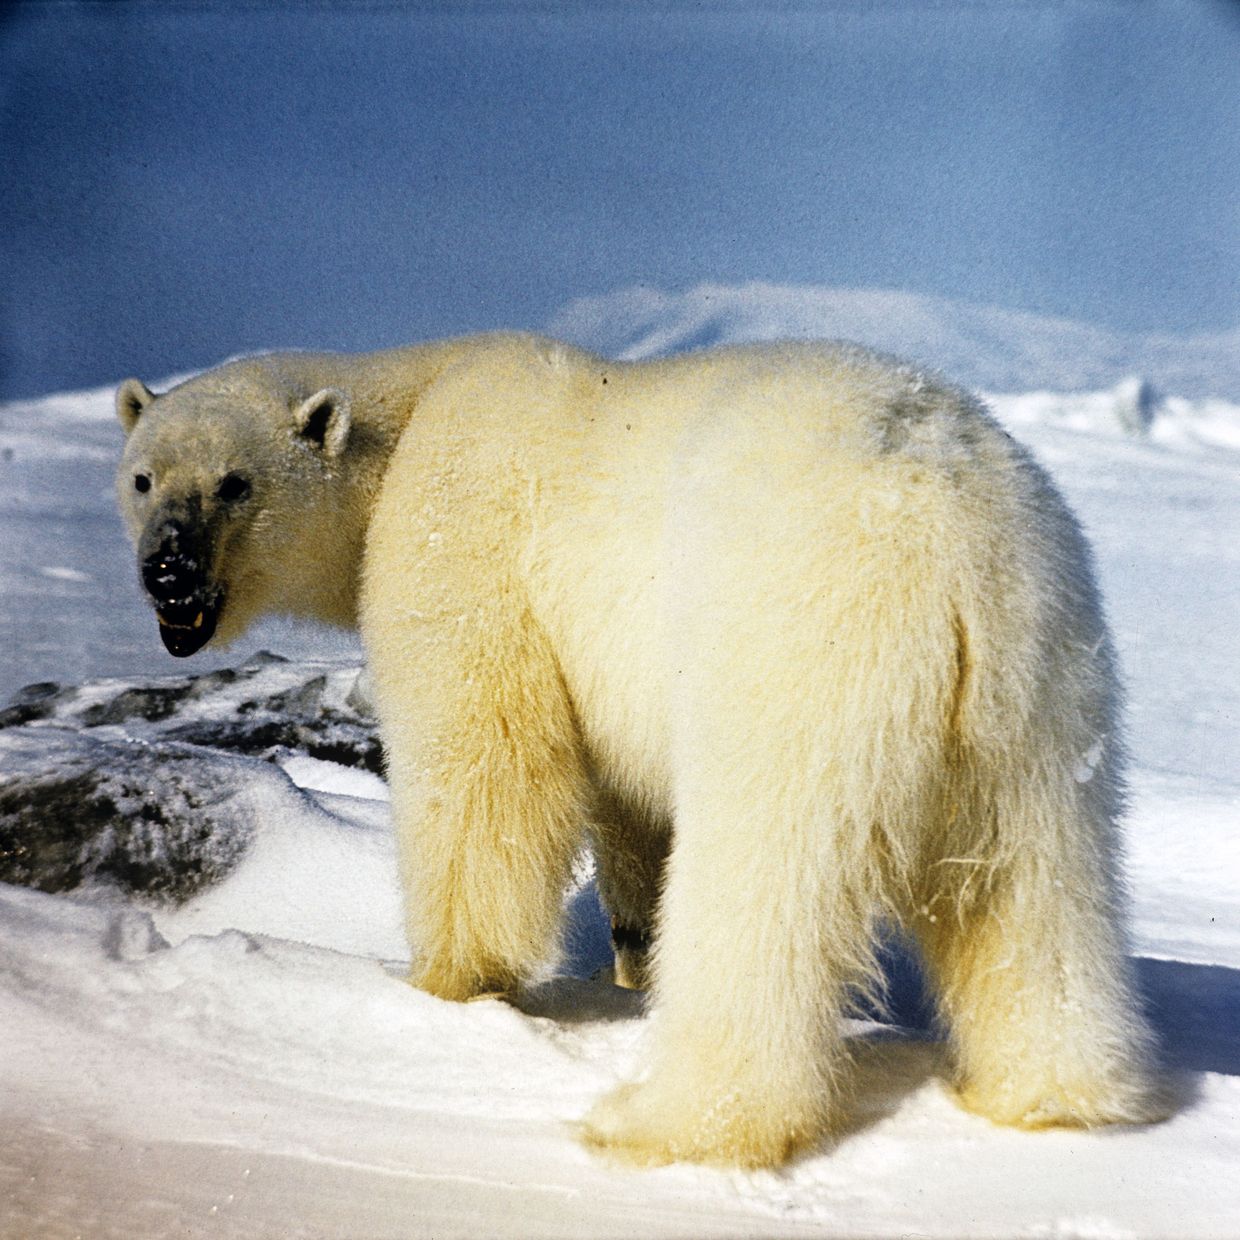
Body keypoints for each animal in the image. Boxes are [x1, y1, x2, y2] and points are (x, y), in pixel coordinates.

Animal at [115, 333, 1162, 1167]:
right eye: (142, 477)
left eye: (235, 483)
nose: (168, 572)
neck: (414, 402)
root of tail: (946, 528)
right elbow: (626, 819)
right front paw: (623, 966)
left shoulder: (461, 542)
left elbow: (485, 762)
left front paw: (445, 983)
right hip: (1041, 683)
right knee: (1034, 889)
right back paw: (1050, 1095)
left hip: (796, 644)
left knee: (761, 885)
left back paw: (670, 1120)